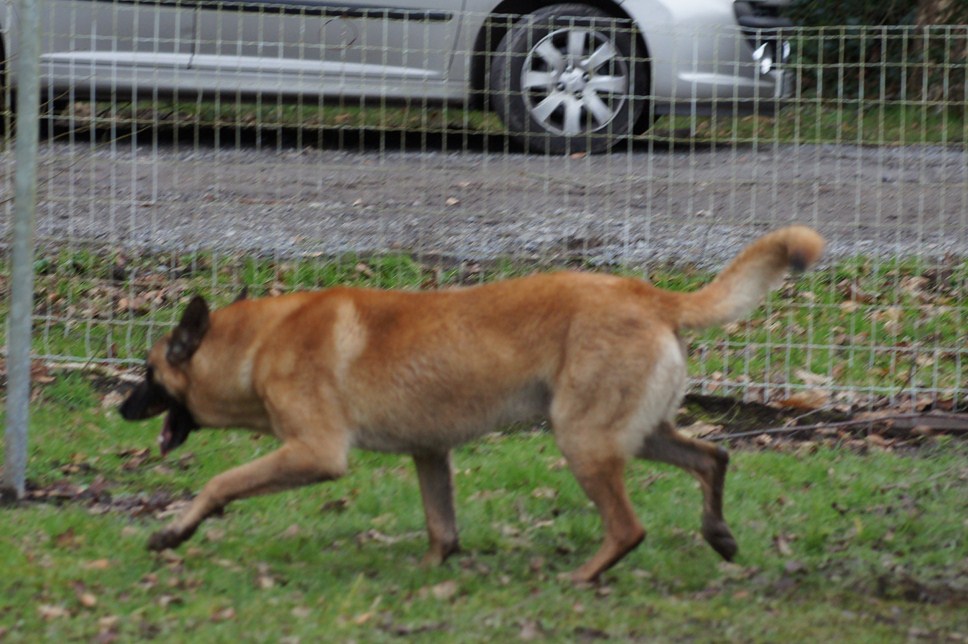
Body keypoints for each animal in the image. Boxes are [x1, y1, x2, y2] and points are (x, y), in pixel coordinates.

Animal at [117, 228, 820, 584]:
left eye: (148, 374)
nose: (121, 410)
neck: (257, 344)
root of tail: (652, 296)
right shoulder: (431, 454)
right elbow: (442, 527)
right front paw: (430, 572)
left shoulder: (315, 453)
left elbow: (220, 482)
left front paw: (174, 531)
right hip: (635, 433)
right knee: (712, 458)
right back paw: (718, 535)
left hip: (583, 440)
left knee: (629, 526)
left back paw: (582, 578)